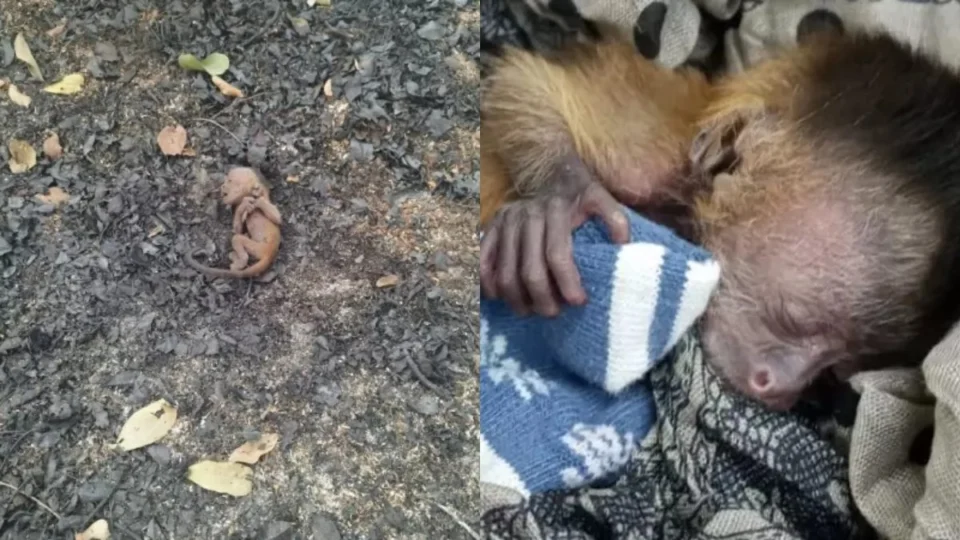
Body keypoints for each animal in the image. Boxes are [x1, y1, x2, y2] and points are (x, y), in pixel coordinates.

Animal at [479, 30, 960, 411]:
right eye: (792, 319)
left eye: (834, 369)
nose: (781, 389)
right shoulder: (645, 158)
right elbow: (520, 79)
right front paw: (559, 196)